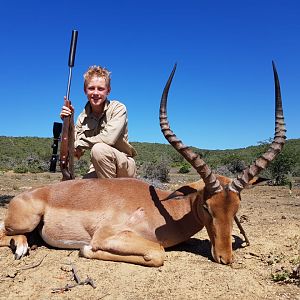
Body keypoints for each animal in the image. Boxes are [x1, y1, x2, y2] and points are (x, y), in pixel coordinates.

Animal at [0, 61, 286, 268]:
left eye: (236, 207)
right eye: (206, 206)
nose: (226, 258)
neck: (163, 210)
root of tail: (26, 195)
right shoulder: (108, 236)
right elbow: (156, 254)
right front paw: (85, 249)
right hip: (25, 221)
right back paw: (22, 247)